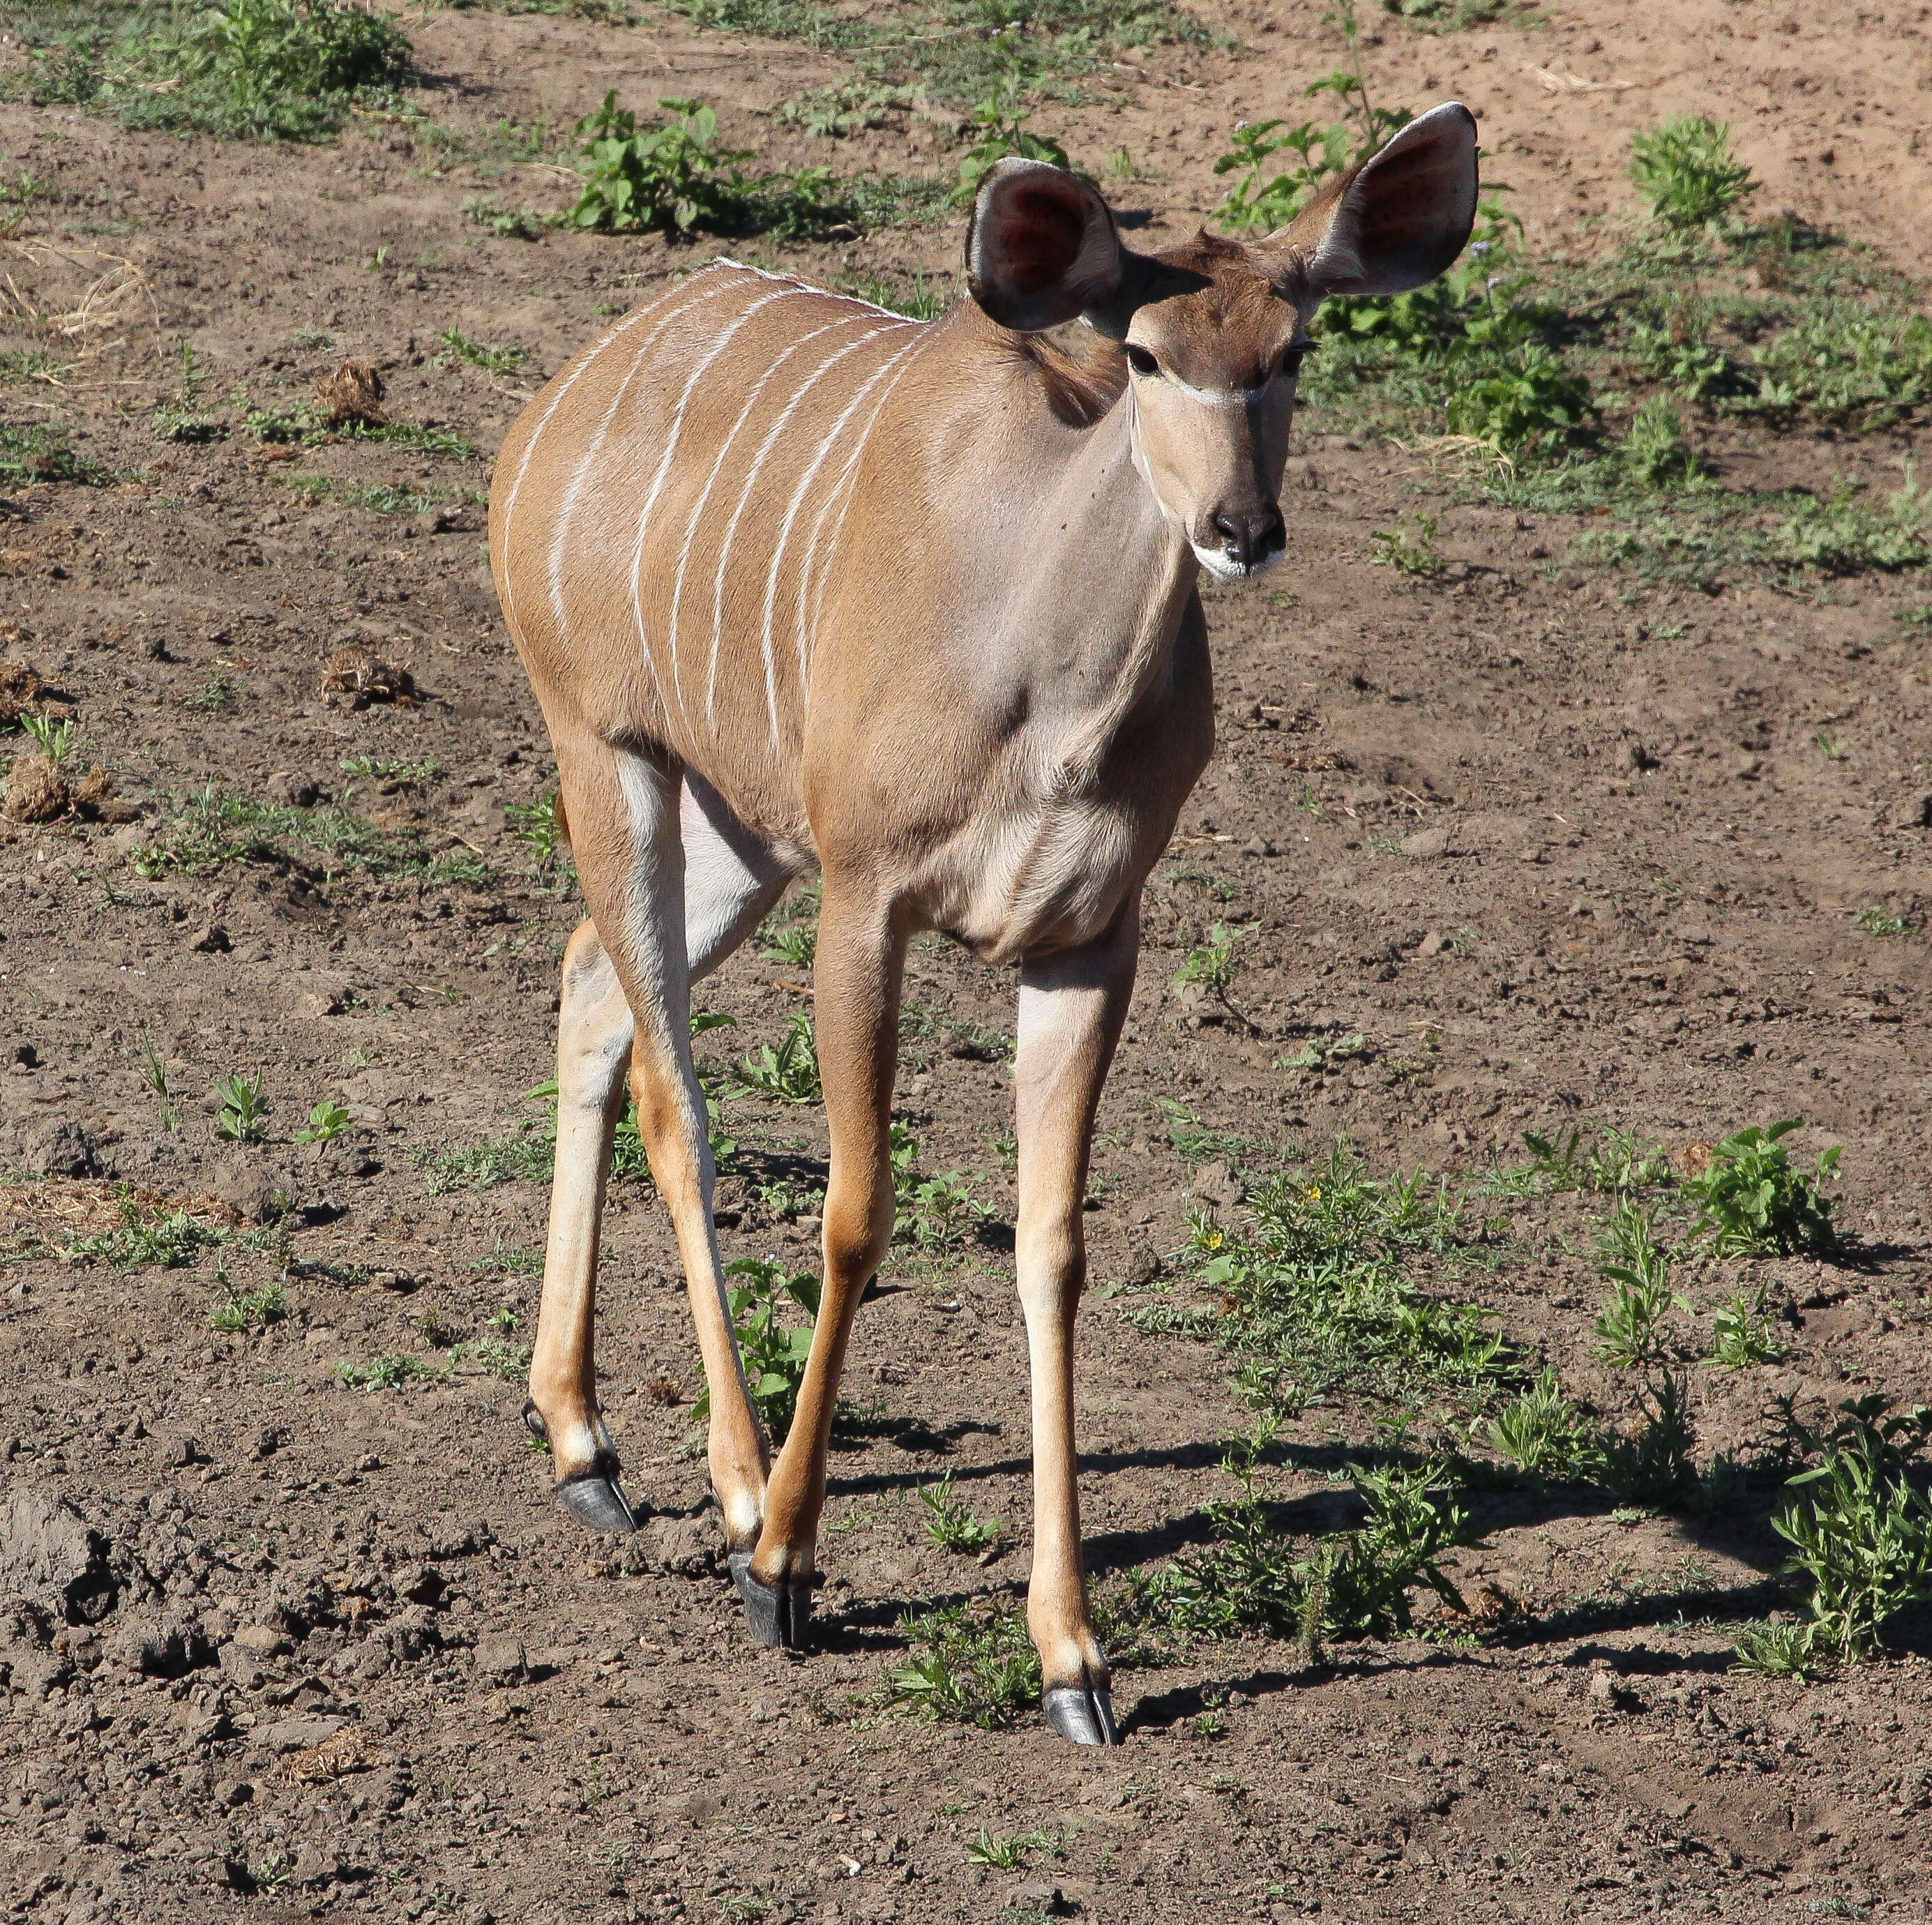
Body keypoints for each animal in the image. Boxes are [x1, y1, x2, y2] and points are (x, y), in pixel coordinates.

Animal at [490, 112, 1468, 1755]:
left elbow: (1051, 1246)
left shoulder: (1088, 940)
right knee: (673, 1092)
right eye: (1140, 353)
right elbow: (853, 1215)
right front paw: (786, 1570)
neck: (1044, 687)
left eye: (1292, 350)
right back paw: (726, 1488)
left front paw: (1073, 1659)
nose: (1241, 529)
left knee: (586, 990)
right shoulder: (866, 898)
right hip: (608, 755)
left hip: (742, 835)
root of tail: (559, 401)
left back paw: (584, 1445)